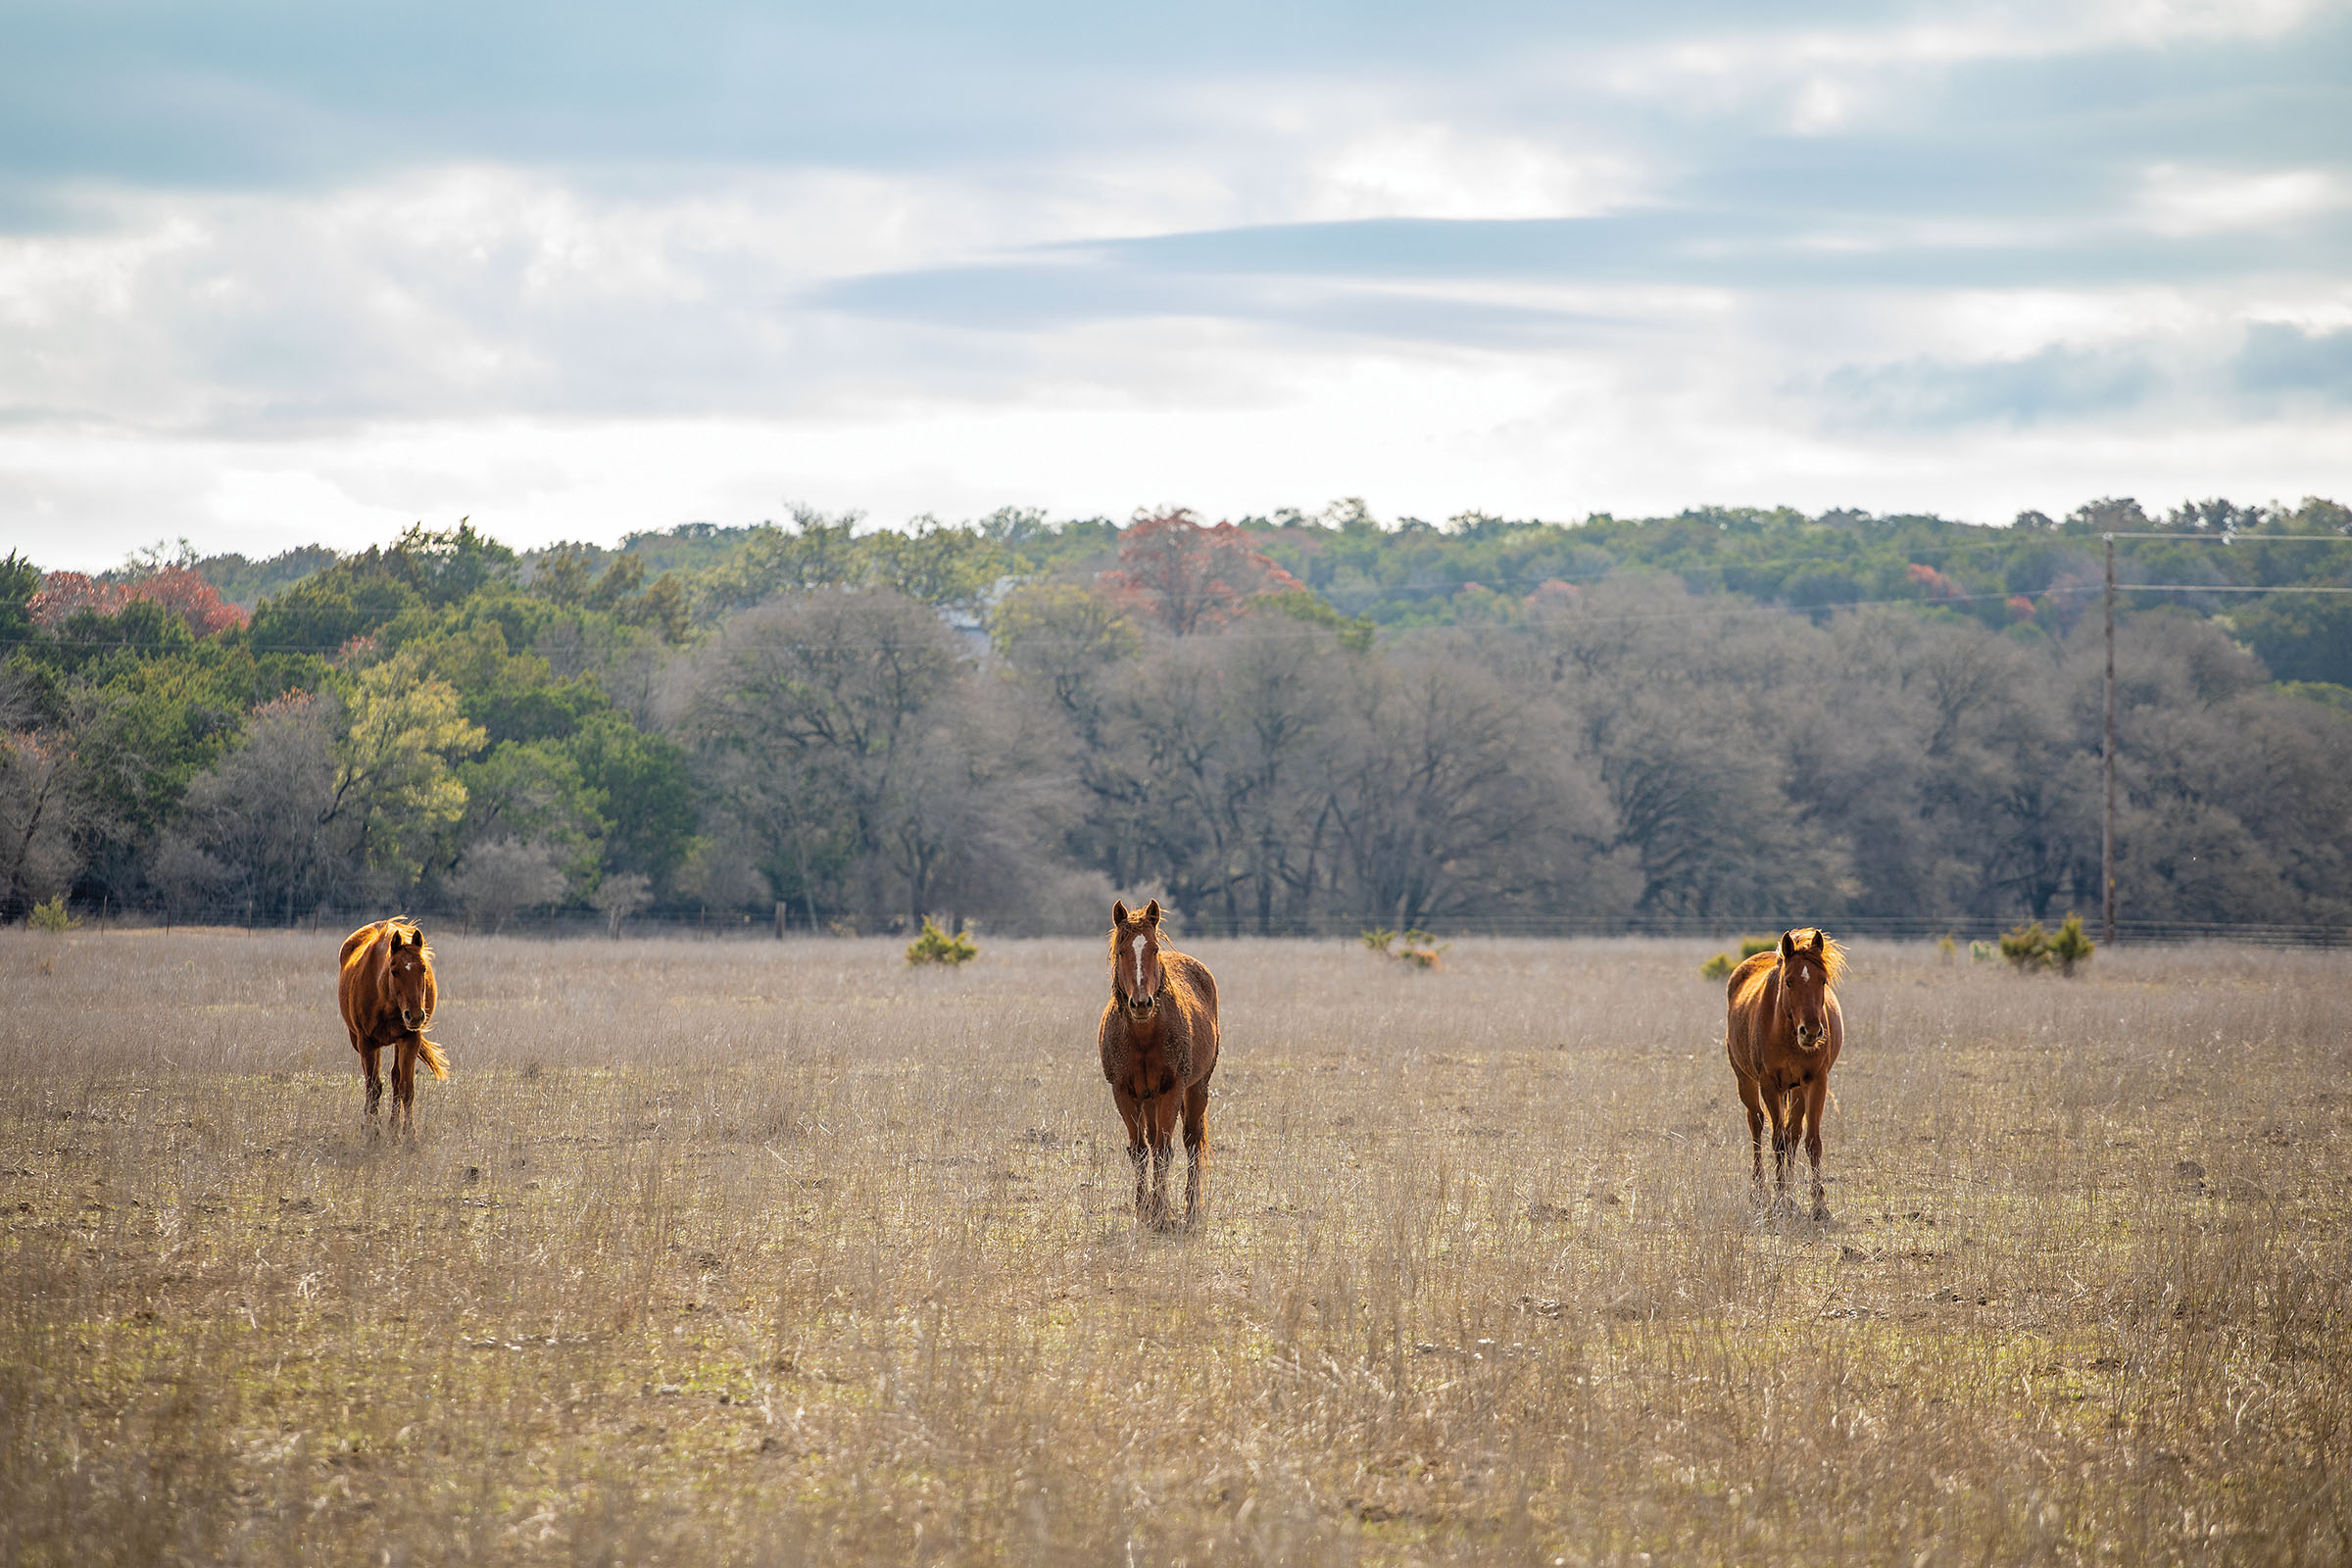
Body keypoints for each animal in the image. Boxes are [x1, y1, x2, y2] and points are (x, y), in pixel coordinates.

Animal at [341, 911, 449, 1133]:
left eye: (423, 969)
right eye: (394, 970)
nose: (414, 1016)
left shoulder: (409, 1039)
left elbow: (406, 1088)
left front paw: (408, 1135)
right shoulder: (366, 1042)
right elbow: (373, 1088)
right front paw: (372, 1131)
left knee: (396, 1079)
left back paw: (393, 1127)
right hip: (359, 1042)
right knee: (371, 1082)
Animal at [1096, 903, 1223, 1231]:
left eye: (1153, 949)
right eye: (1122, 951)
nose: (1142, 1003)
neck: (1143, 1036)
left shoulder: (1172, 1089)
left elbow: (1165, 1151)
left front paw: (1162, 1212)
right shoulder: (1123, 1093)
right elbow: (1140, 1151)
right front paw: (1143, 1212)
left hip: (1196, 1089)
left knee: (1192, 1144)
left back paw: (1190, 1209)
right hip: (1149, 1100)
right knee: (1152, 1144)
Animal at [1721, 926, 1843, 1222]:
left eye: (1823, 981)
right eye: (1788, 982)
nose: (1811, 1032)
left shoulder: (1816, 1082)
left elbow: (1811, 1141)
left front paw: (1818, 1205)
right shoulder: (1769, 1084)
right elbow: (1776, 1140)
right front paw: (1779, 1199)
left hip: (1797, 1088)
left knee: (1793, 1135)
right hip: (1746, 1082)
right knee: (1756, 1125)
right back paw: (1759, 1193)